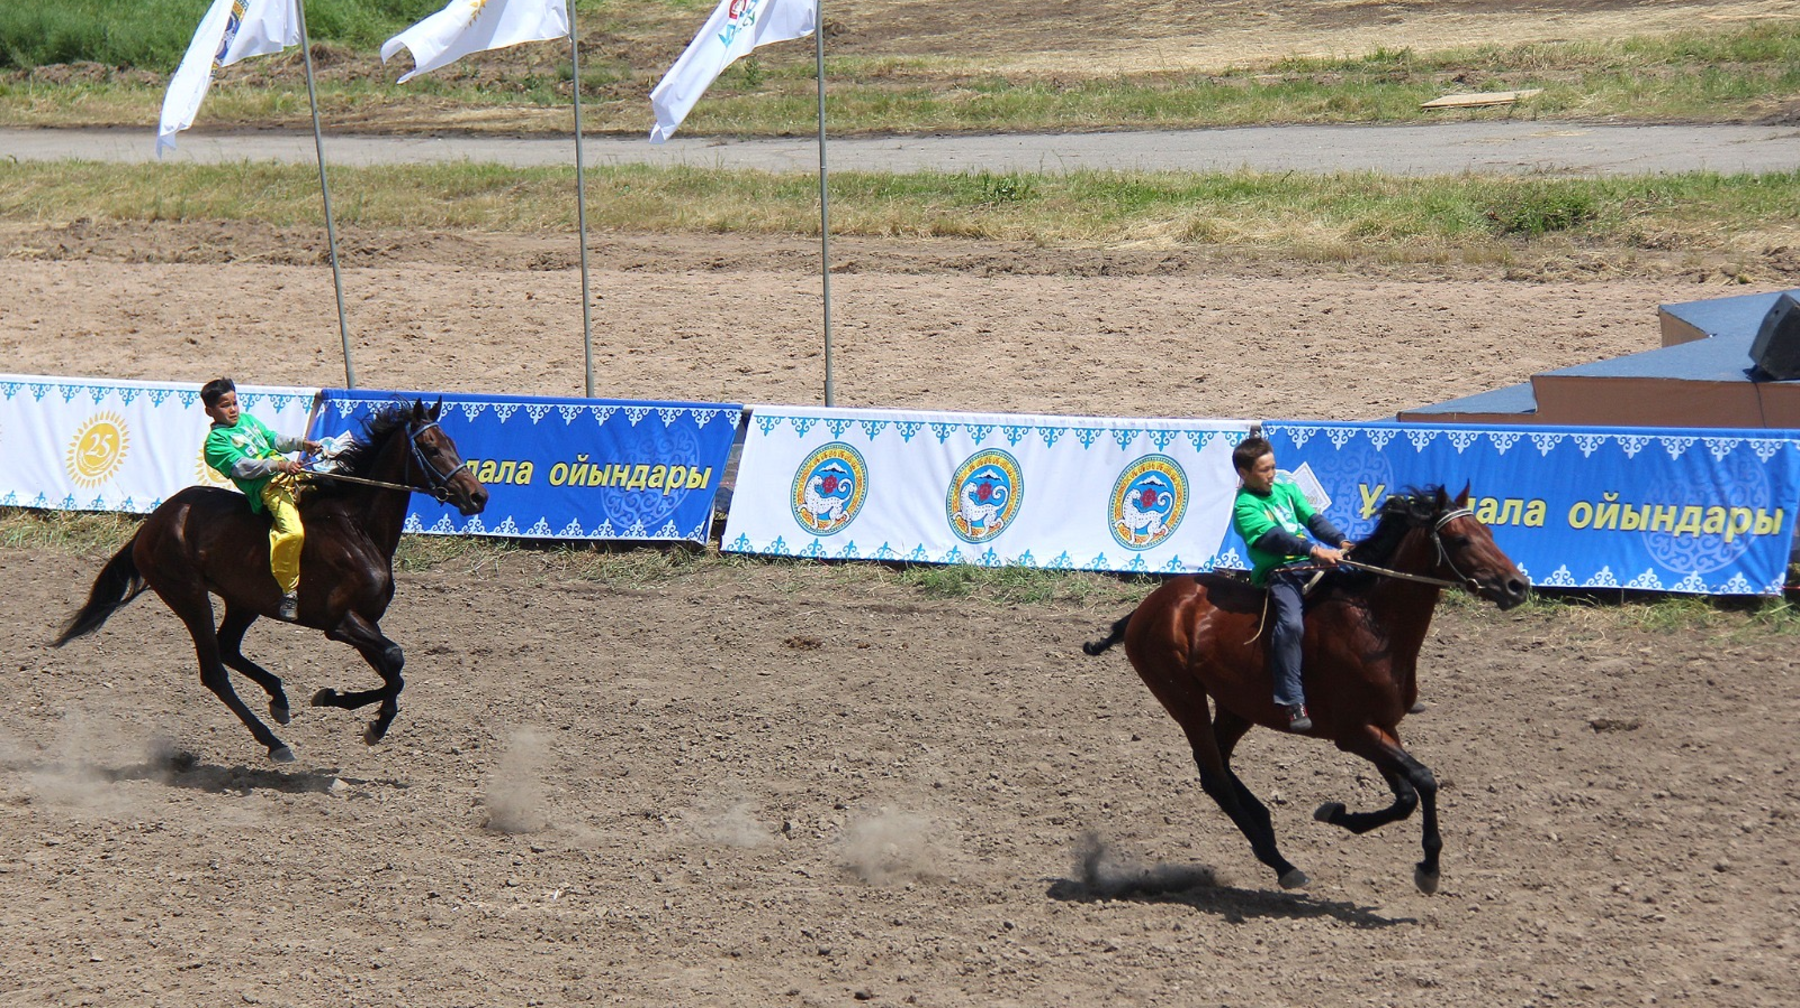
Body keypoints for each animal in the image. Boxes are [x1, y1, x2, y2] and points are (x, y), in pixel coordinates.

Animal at [53, 397, 486, 759]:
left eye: (452, 441)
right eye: (430, 447)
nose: (478, 496)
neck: (355, 528)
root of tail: (153, 524)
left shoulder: (366, 622)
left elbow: (393, 672)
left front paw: (335, 700)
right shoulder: (340, 623)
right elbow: (395, 660)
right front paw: (368, 721)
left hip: (244, 600)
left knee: (228, 648)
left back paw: (279, 699)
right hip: (189, 596)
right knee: (215, 670)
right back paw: (274, 742)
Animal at [1087, 486, 1526, 889]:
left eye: (1488, 531)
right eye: (1461, 539)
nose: (1517, 585)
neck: (1371, 625)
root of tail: (1147, 608)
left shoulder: (1383, 727)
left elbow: (1406, 797)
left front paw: (1337, 815)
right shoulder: (1353, 733)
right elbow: (1424, 779)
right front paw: (1429, 868)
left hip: (1236, 707)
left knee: (1218, 765)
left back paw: (1264, 824)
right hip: (1183, 697)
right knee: (1214, 776)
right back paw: (1280, 862)